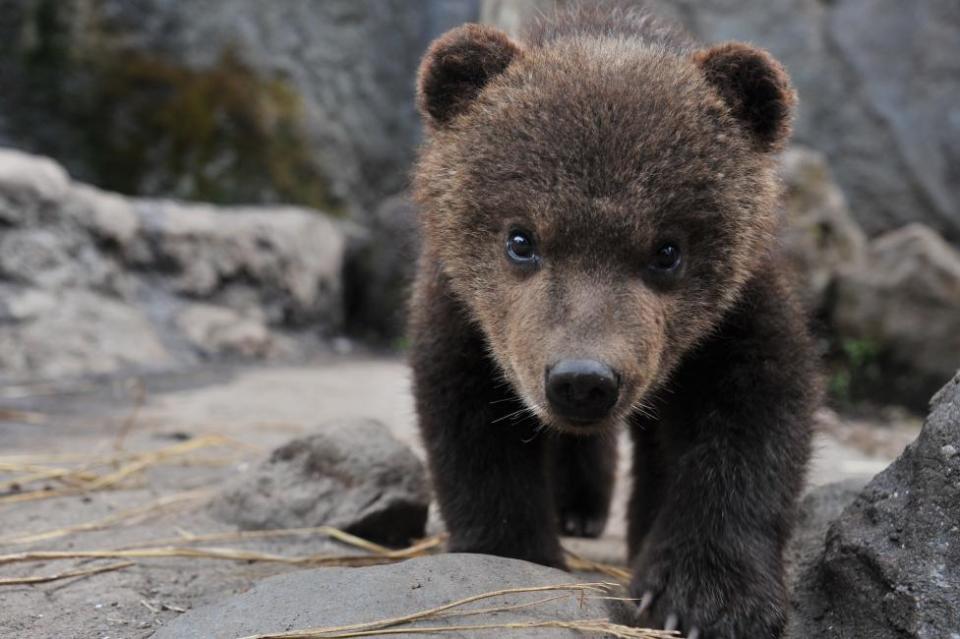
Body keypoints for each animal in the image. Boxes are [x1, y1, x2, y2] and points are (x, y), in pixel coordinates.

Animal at [408, 6, 820, 639]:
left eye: (667, 250)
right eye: (521, 239)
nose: (583, 381)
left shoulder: (734, 315)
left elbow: (754, 419)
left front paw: (706, 597)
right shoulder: (467, 313)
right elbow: (469, 423)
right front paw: (513, 553)